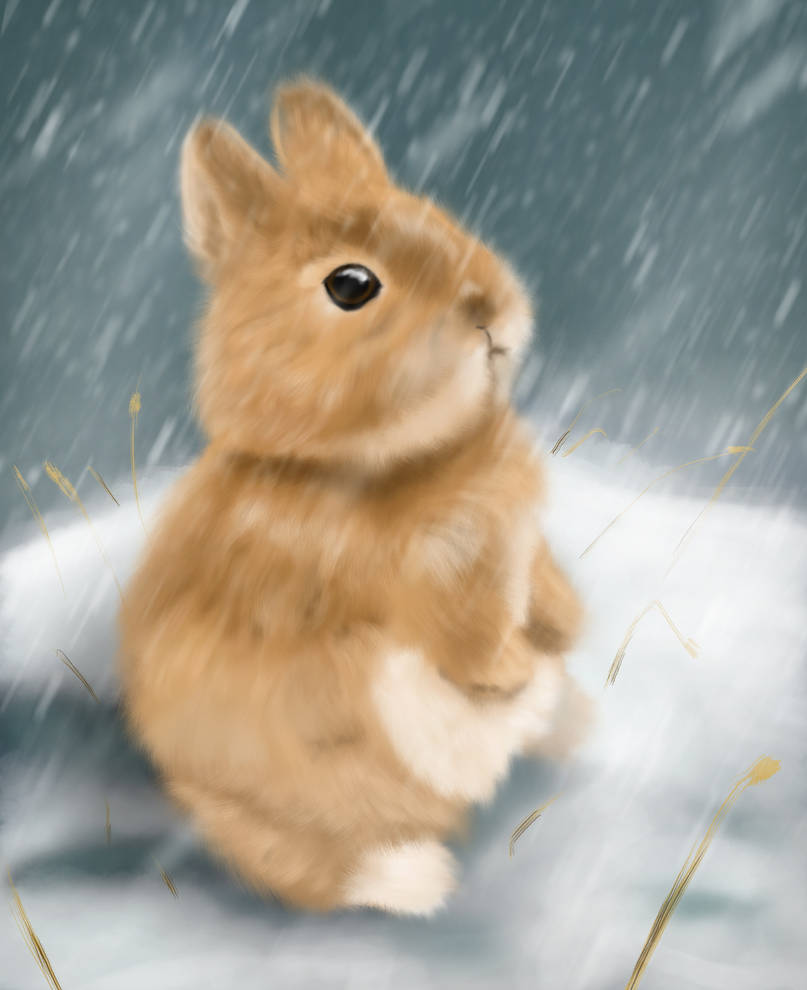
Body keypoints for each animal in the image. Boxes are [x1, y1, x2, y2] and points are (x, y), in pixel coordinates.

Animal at [118, 77, 589, 917]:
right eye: (350, 286)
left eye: (439, 217)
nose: (490, 309)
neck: (385, 459)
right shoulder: (424, 575)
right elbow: (466, 634)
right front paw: (507, 672)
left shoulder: (518, 548)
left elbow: (541, 586)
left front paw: (568, 628)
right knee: (312, 859)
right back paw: (415, 877)